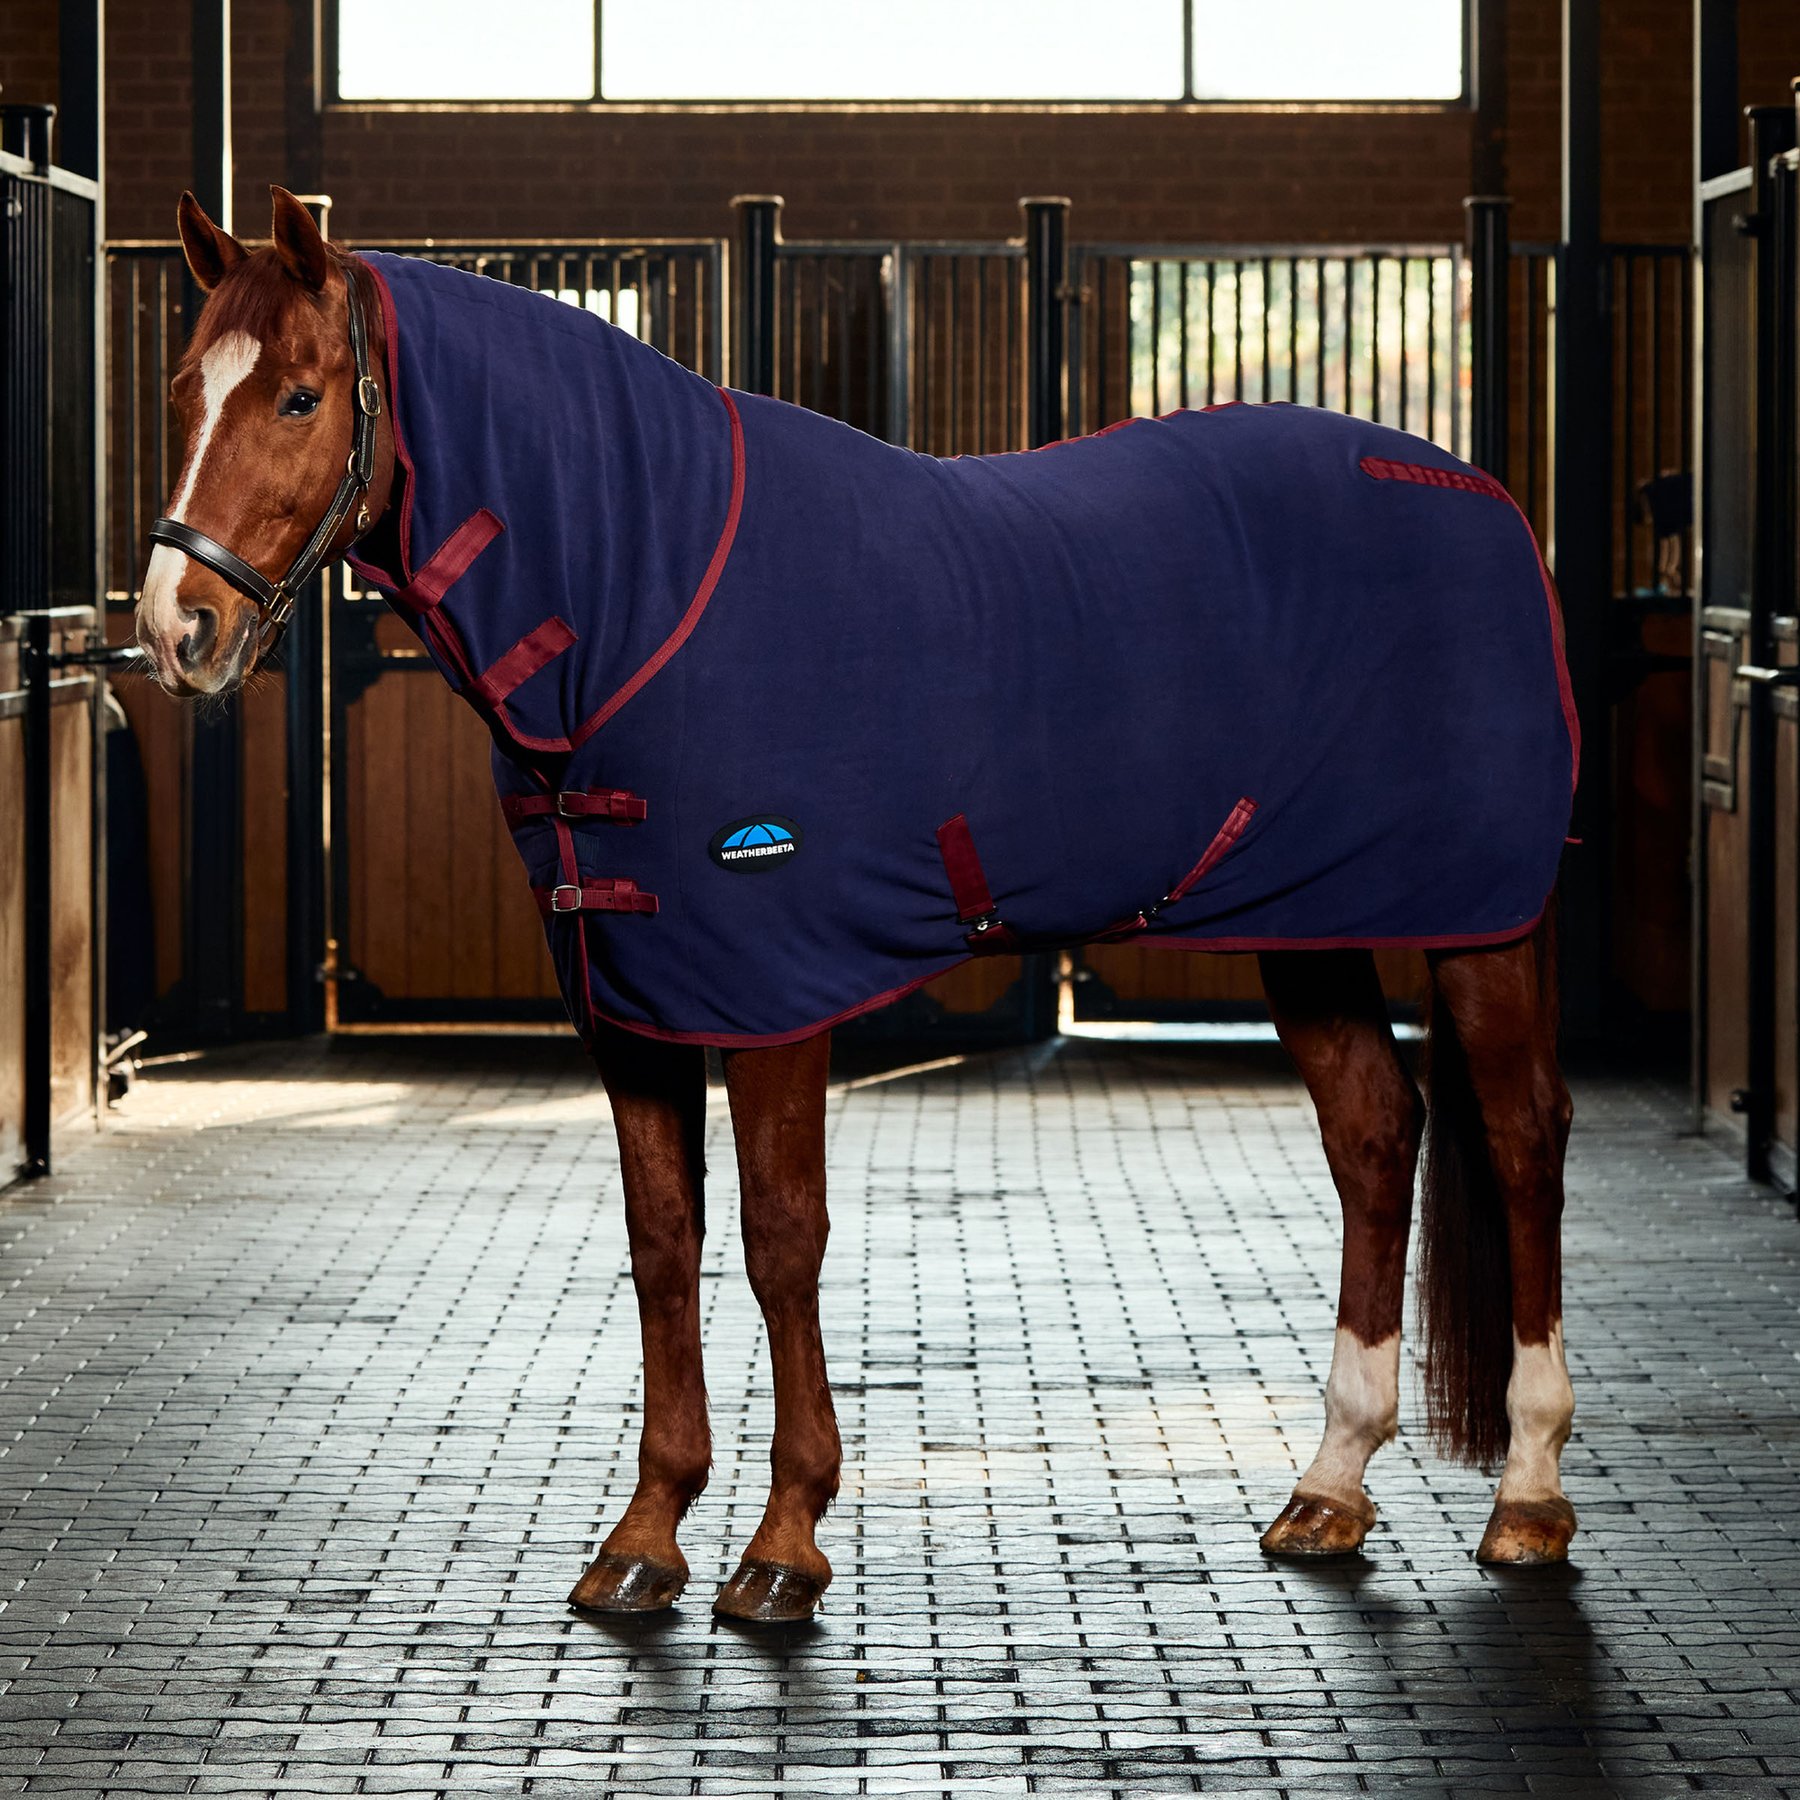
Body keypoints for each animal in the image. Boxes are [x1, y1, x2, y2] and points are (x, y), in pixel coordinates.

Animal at [134, 187, 1579, 1625]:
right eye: (182, 391)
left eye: (301, 398)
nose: (174, 629)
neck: (644, 591)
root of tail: (1485, 501)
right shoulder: (632, 995)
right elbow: (663, 1240)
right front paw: (646, 1535)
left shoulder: (774, 985)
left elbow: (781, 1238)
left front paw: (785, 1543)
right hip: (1307, 923)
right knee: (1375, 1135)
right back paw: (1329, 1489)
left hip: (1481, 921)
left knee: (1520, 1139)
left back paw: (1527, 1497)